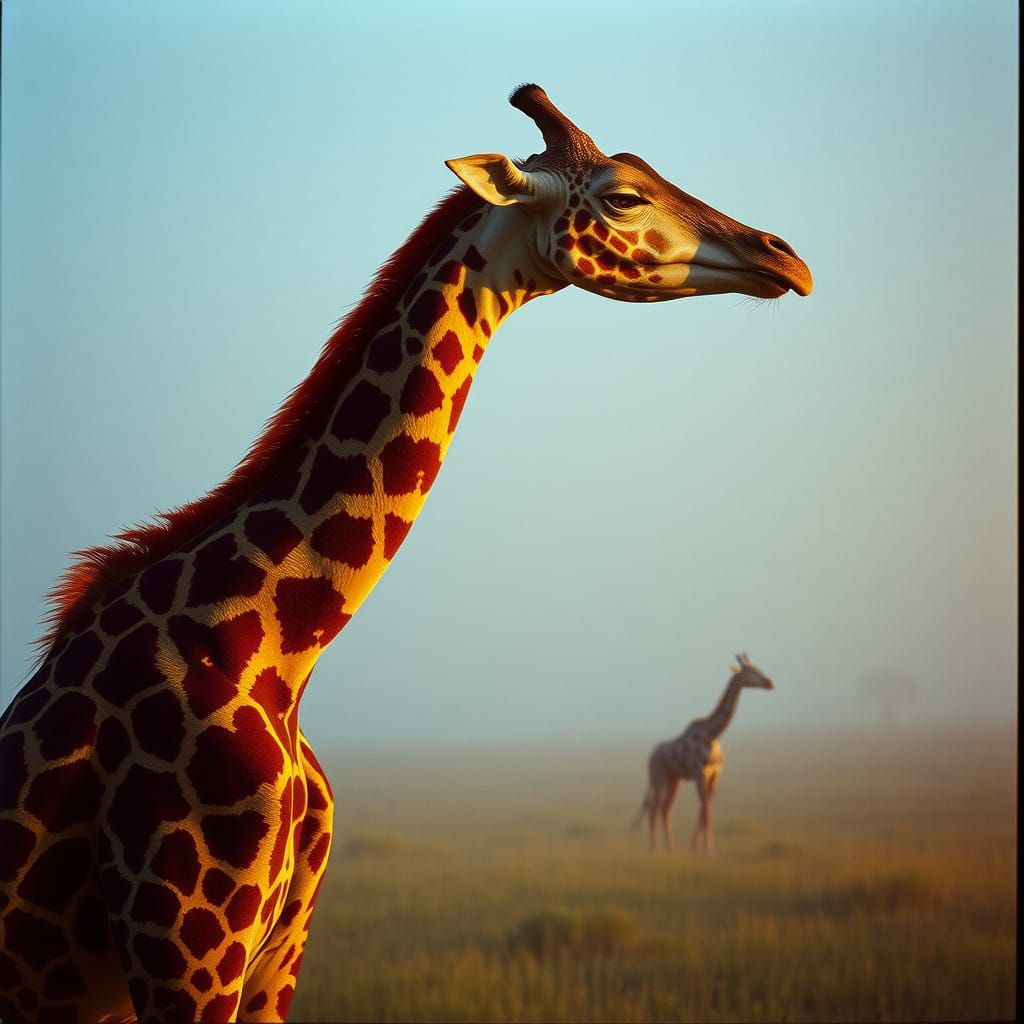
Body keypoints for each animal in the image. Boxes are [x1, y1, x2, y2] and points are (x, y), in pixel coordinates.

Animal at [633, 653, 774, 854]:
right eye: (750, 672)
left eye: (759, 669)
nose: (770, 683)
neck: (713, 734)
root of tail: (650, 755)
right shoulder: (699, 772)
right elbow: (705, 809)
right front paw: (708, 850)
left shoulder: (715, 774)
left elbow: (706, 808)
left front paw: (697, 847)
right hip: (658, 777)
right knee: (654, 809)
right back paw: (655, 851)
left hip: (674, 780)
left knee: (664, 809)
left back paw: (671, 849)